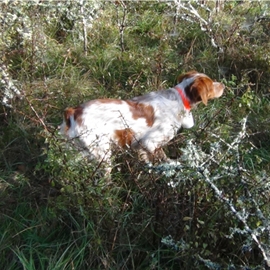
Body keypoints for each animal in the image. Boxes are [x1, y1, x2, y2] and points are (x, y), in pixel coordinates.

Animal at [59, 70, 226, 174]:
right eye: (211, 84)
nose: (223, 85)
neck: (180, 98)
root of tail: (73, 112)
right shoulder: (151, 143)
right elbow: (164, 159)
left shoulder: (141, 147)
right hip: (102, 154)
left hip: (78, 151)